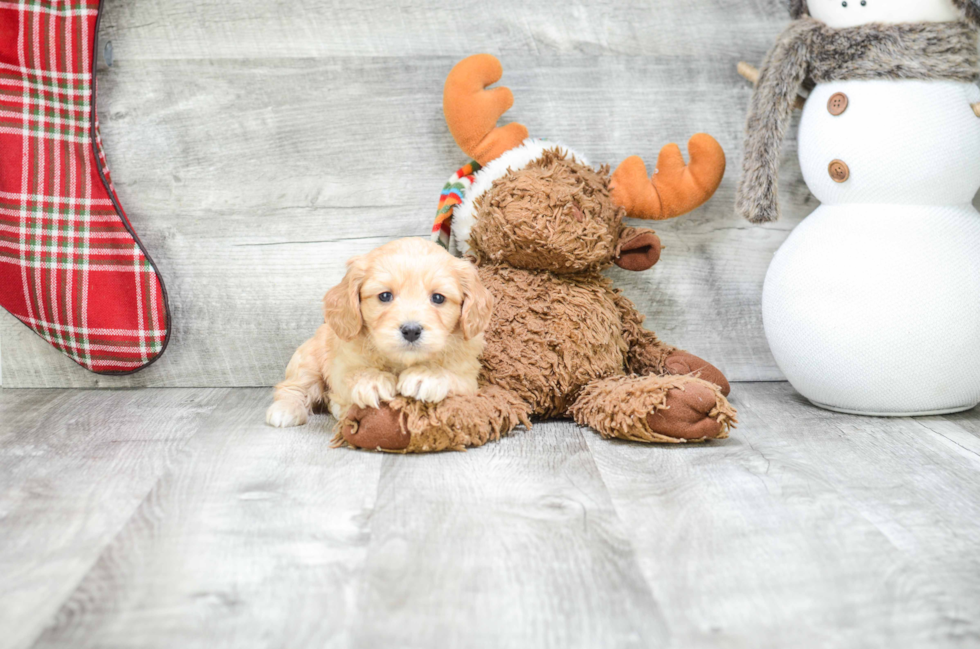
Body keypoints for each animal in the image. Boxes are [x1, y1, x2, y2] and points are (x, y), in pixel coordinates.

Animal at [266, 235, 490, 428]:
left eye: (438, 298)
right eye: (385, 296)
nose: (411, 330)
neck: (401, 362)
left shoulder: (468, 376)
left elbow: (453, 376)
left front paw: (427, 375)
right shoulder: (341, 363)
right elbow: (352, 373)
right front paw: (372, 381)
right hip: (308, 359)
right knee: (293, 387)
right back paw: (286, 409)